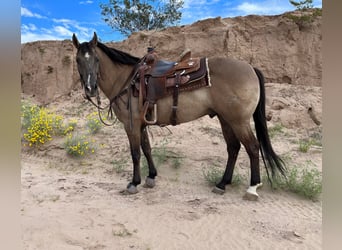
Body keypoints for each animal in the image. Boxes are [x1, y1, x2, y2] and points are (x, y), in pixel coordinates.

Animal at [72, 32, 286, 200]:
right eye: (78, 60)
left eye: (96, 60)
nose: (90, 89)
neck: (127, 80)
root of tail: (251, 68)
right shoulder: (141, 124)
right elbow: (147, 149)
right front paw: (151, 176)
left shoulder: (131, 125)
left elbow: (135, 153)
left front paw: (134, 183)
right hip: (226, 119)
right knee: (233, 148)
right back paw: (222, 184)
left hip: (238, 121)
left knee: (252, 147)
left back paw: (252, 188)